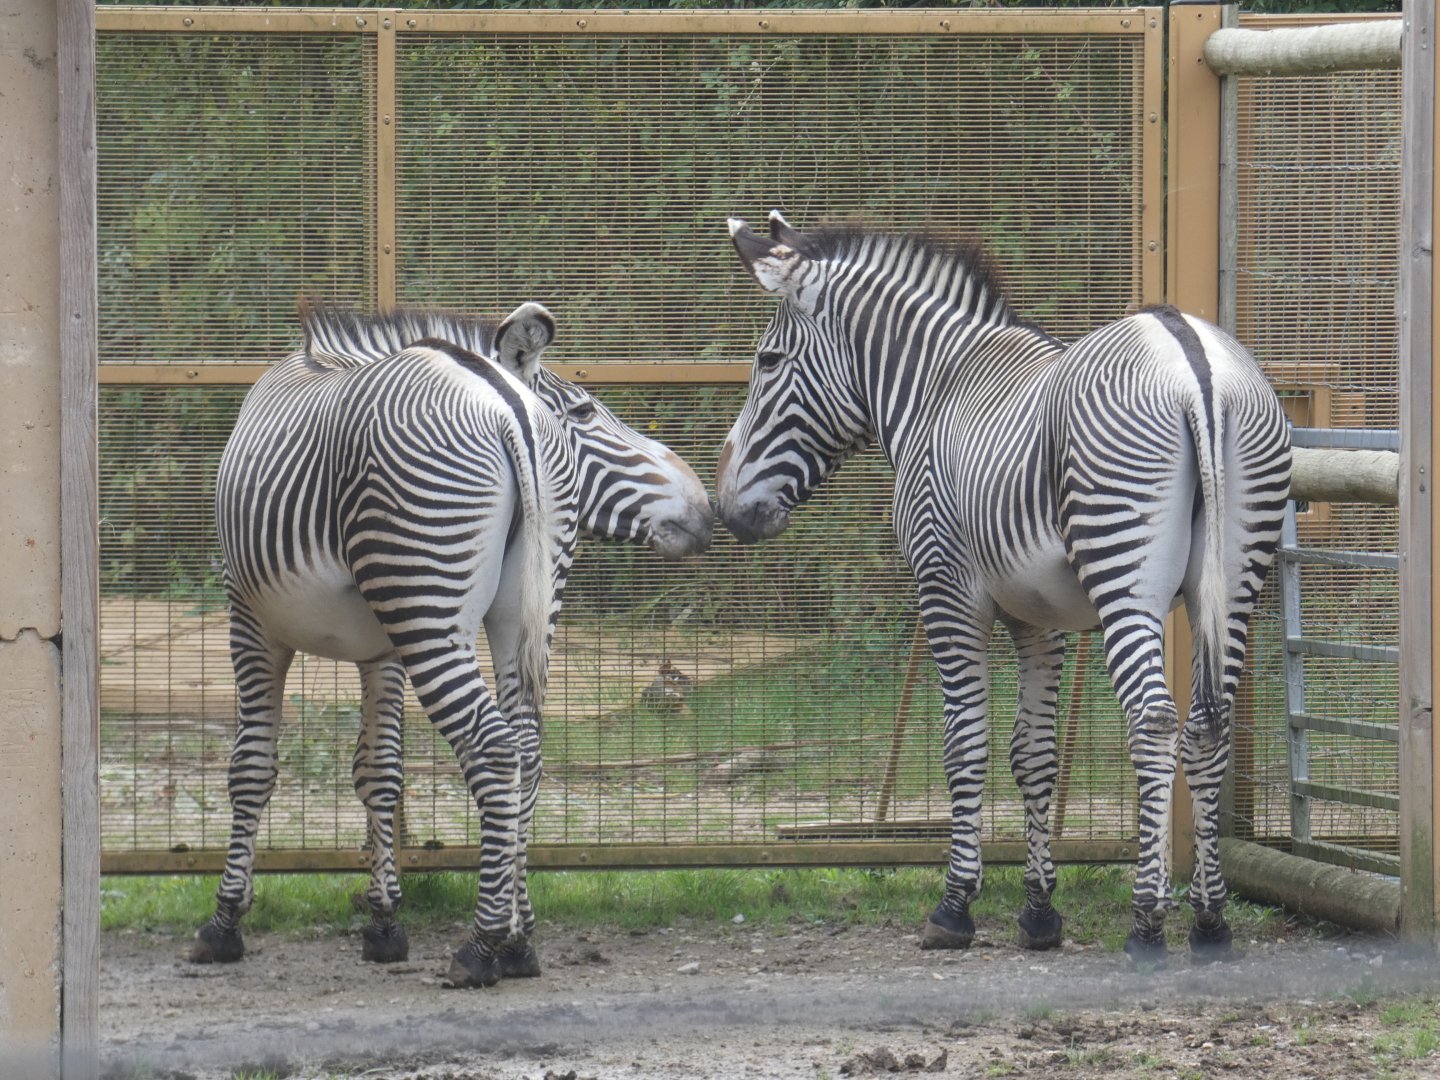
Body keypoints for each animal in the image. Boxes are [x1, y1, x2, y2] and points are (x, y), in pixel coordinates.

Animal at [192, 301, 713, 988]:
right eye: (581, 412)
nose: (707, 509)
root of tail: (506, 401)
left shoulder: (250, 618)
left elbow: (251, 768)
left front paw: (224, 923)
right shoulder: (378, 650)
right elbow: (379, 774)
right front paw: (385, 922)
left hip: (427, 603)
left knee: (493, 749)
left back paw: (481, 947)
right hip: (517, 611)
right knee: (526, 752)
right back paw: (518, 941)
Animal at [716, 212, 1290, 963]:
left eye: (768, 361)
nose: (728, 509)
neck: (938, 388)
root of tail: (1192, 357)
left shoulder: (947, 591)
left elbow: (965, 746)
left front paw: (955, 907)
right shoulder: (1037, 618)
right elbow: (1034, 755)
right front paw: (1040, 912)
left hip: (1123, 573)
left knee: (1155, 719)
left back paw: (1145, 921)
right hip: (1235, 577)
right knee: (1207, 724)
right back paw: (1210, 919)